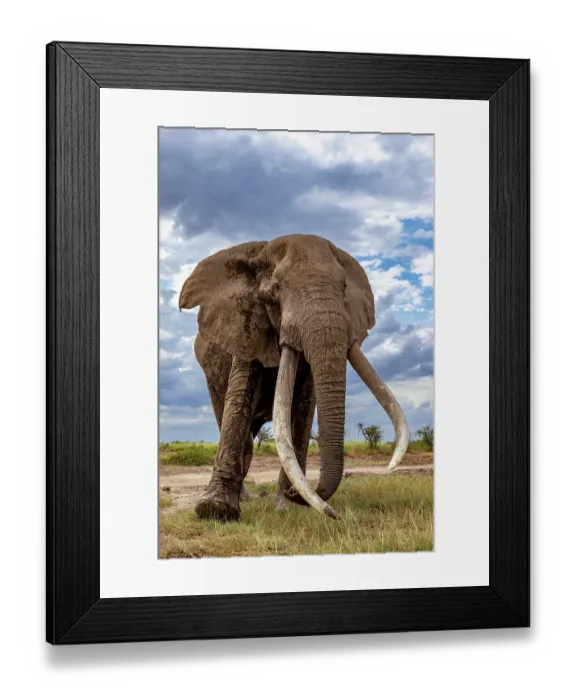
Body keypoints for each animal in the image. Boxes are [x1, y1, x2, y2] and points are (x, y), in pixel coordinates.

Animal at [178, 234, 409, 521]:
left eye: (344, 286)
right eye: (276, 289)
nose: (296, 495)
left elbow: (304, 406)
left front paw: (289, 506)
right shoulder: (246, 327)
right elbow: (240, 398)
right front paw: (215, 511)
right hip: (210, 376)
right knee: (239, 430)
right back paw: (241, 498)